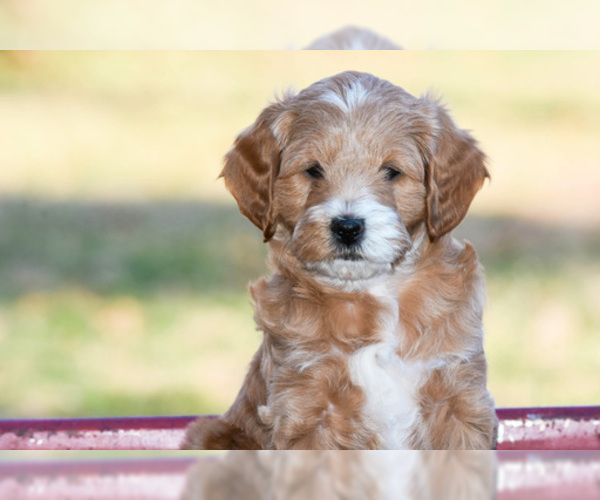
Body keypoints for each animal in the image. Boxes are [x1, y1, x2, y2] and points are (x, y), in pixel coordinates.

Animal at [183, 70, 496, 450]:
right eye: (313, 170)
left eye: (391, 171)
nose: (347, 227)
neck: (370, 293)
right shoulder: (306, 408)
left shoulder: (458, 402)